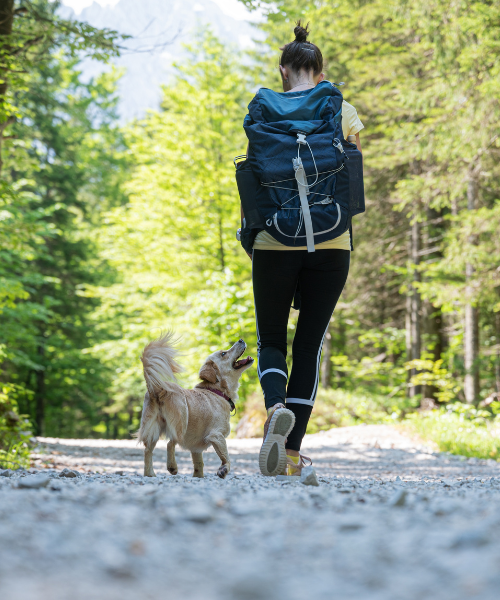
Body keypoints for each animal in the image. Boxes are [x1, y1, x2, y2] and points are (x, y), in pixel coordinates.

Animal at [137, 332, 254, 478]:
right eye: (223, 353)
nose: (241, 340)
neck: (217, 391)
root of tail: (158, 388)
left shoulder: (196, 449)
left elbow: (199, 465)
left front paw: (198, 476)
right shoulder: (217, 435)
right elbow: (226, 456)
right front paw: (223, 469)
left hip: (152, 429)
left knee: (148, 450)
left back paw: (150, 474)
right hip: (181, 420)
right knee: (170, 443)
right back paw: (172, 466)